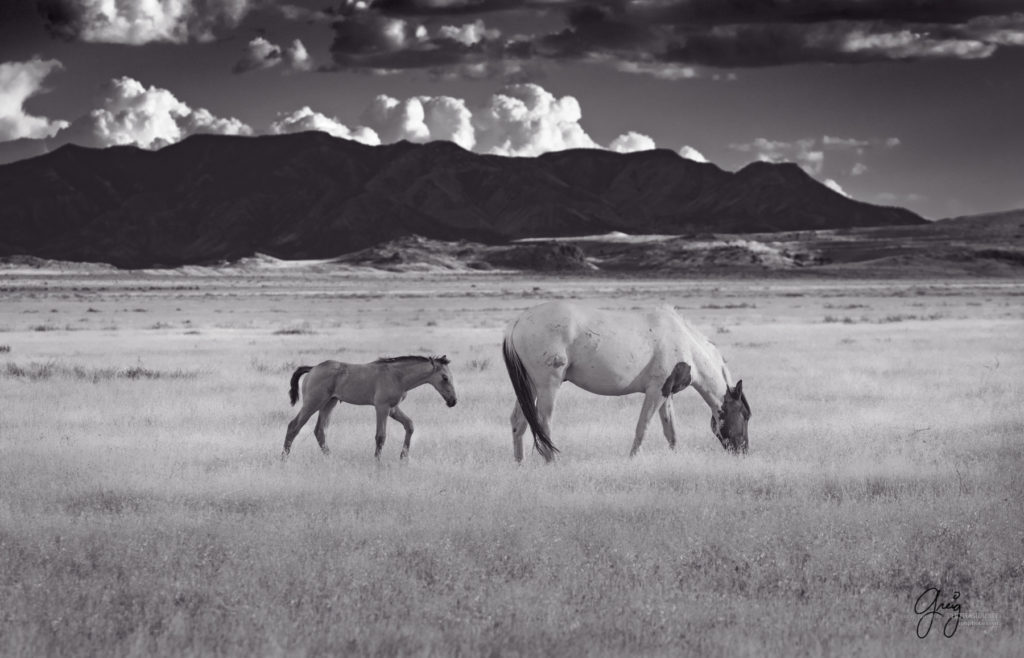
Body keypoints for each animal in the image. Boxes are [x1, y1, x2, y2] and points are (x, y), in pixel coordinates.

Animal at [280, 358, 456, 460]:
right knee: (293, 426)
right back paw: (284, 459)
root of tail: (313, 368)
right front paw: (377, 463)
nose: (453, 401)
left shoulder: (393, 408)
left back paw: (331, 458)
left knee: (320, 431)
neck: (397, 376)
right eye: (444, 377)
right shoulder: (382, 407)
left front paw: (403, 457)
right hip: (313, 403)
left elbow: (409, 425)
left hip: (329, 403)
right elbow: (380, 436)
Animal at [503, 300, 753, 460]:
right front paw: (633, 458)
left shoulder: (667, 393)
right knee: (543, 423)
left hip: (529, 387)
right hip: (547, 387)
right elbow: (643, 426)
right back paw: (551, 462)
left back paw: (520, 464)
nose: (743, 451)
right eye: (745, 415)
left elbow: (671, 431)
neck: (686, 345)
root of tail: (518, 322)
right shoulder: (656, 391)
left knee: (518, 423)